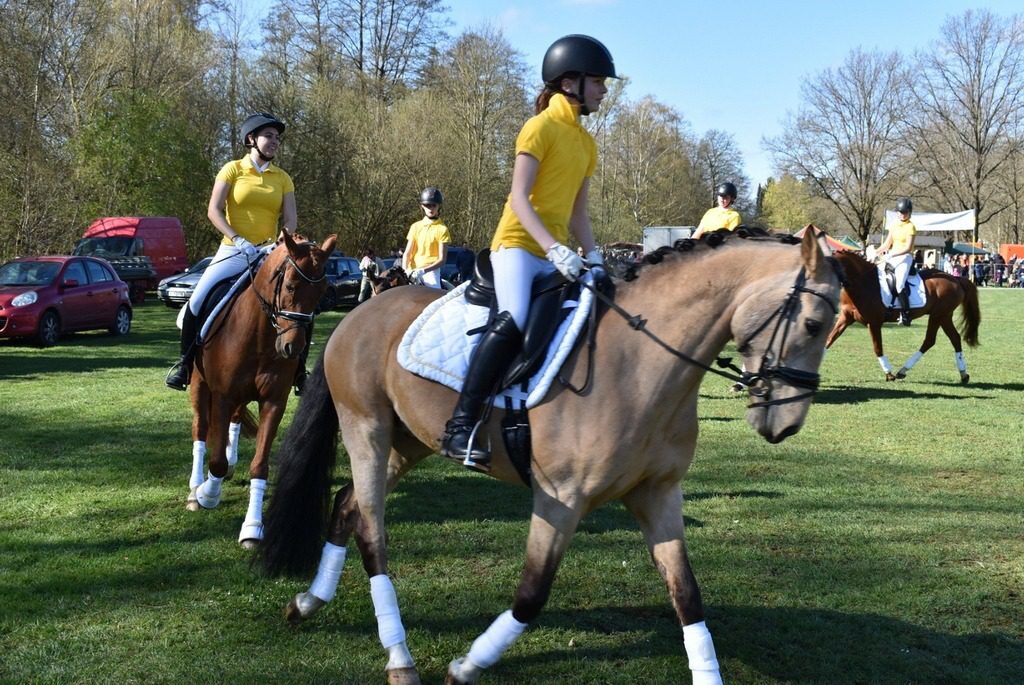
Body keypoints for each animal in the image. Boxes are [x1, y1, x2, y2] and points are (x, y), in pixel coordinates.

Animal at [185, 230, 336, 549]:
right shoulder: (222, 396)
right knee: (200, 430)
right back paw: (194, 491)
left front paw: (252, 528)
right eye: (290, 285)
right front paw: (208, 493)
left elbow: (259, 465)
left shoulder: (273, 402)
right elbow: (215, 461)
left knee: (234, 421)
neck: (259, 334)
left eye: (322, 292)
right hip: (199, 386)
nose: (292, 348)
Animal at [259, 228, 841, 684]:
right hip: (368, 429)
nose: (786, 424)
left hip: (409, 443)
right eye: (814, 324)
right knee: (373, 530)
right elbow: (531, 595)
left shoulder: (657, 495)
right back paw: (399, 657)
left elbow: (688, 597)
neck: (640, 364)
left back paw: (308, 603)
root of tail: (357, 313)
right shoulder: (560, 499)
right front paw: (466, 666)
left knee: (347, 504)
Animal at [825, 249, 979, 383]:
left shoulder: (874, 323)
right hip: (944, 316)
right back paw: (963, 374)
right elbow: (829, 340)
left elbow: (877, 347)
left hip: (938, 315)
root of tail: (955, 279)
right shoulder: (845, 318)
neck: (862, 283)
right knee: (954, 338)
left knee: (930, 340)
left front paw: (889, 374)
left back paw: (903, 370)